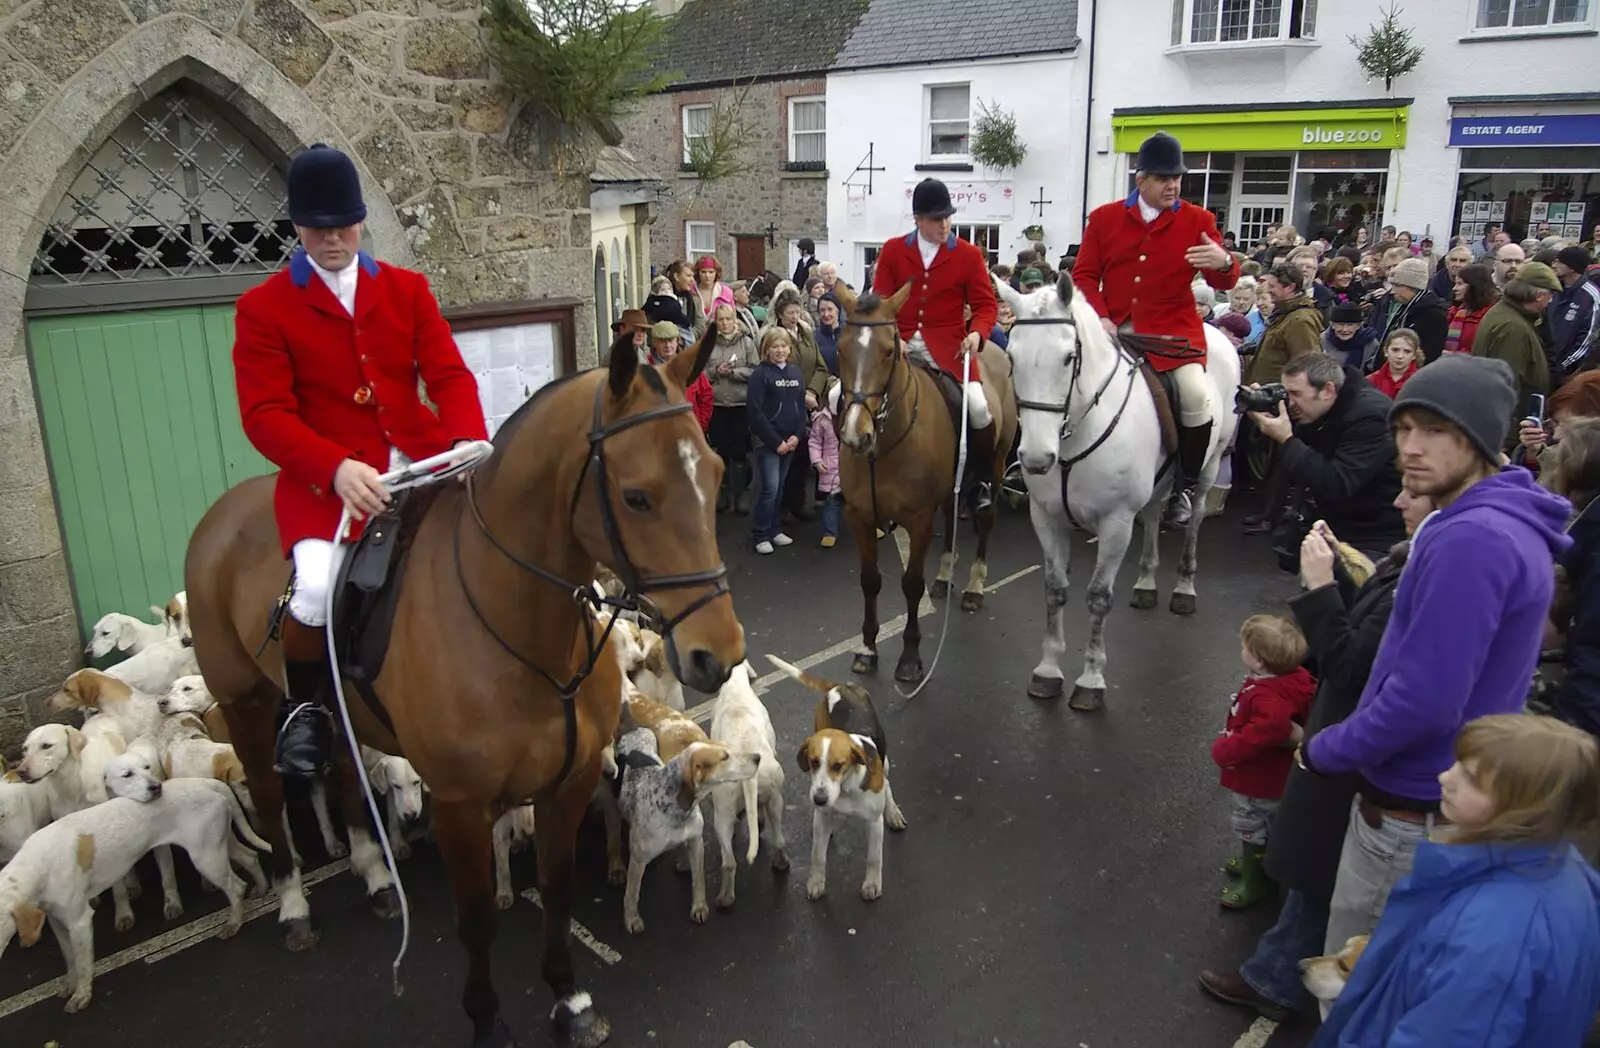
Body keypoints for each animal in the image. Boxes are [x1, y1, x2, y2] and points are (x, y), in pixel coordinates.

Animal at [184, 329, 745, 1048]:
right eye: (637, 497)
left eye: (717, 472)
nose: (718, 654)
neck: (528, 636)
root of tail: (223, 512)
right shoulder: (459, 804)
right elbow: (477, 919)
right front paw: (486, 1019)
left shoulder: (568, 783)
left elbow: (557, 891)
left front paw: (570, 999)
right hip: (245, 702)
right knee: (267, 790)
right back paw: (291, 905)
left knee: (344, 771)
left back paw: (373, 873)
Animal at [832, 284, 1017, 688]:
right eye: (840, 347)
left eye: (889, 350)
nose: (855, 435)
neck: (883, 446)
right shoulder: (858, 516)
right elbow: (869, 581)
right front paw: (867, 649)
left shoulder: (918, 519)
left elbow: (911, 584)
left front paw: (910, 658)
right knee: (950, 515)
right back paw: (945, 576)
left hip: (995, 464)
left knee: (987, 519)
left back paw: (974, 586)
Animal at [992, 272, 1241, 713]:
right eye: (1013, 358)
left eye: (1068, 358)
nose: (1036, 458)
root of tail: (1214, 331)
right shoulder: (1047, 518)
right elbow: (1054, 590)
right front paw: (1048, 669)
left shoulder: (1116, 523)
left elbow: (1097, 598)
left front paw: (1090, 679)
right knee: (1155, 513)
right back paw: (1146, 582)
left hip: (1211, 464)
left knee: (1194, 520)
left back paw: (1184, 587)